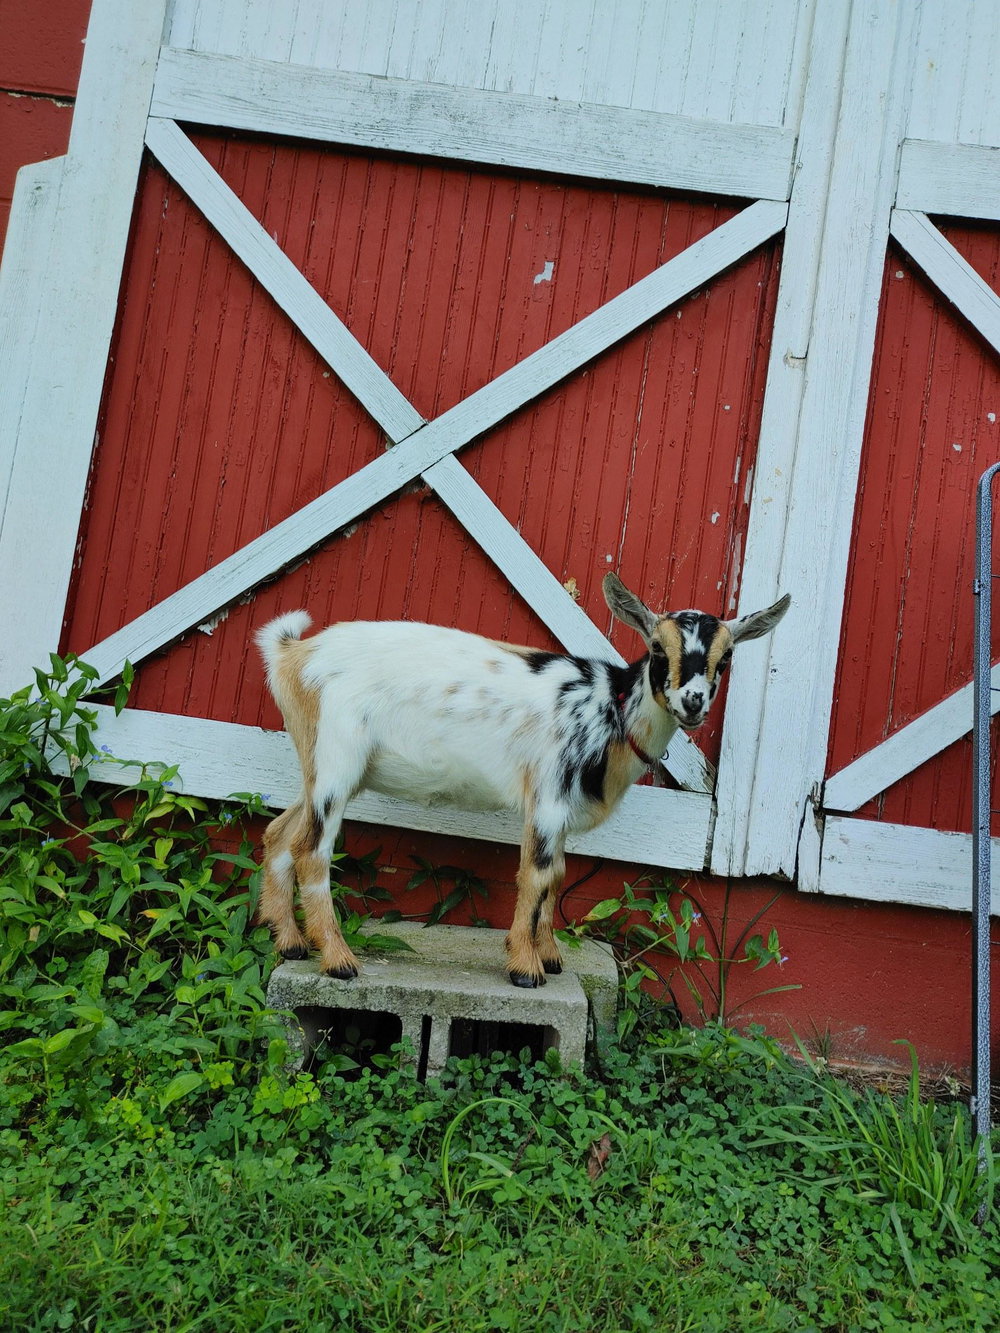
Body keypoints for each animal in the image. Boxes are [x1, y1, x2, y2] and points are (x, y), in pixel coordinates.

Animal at [255, 574, 790, 988]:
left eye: (726, 657)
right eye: (658, 648)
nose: (693, 702)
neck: (610, 710)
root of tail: (293, 654)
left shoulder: (561, 810)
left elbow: (558, 877)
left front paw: (549, 956)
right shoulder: (548, 797)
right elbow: (536, 875)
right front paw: (525, 969)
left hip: (320, 765)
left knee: (279, 833)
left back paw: (290, 943)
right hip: (337, 758)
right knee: (311, 850)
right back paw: (338, 961)